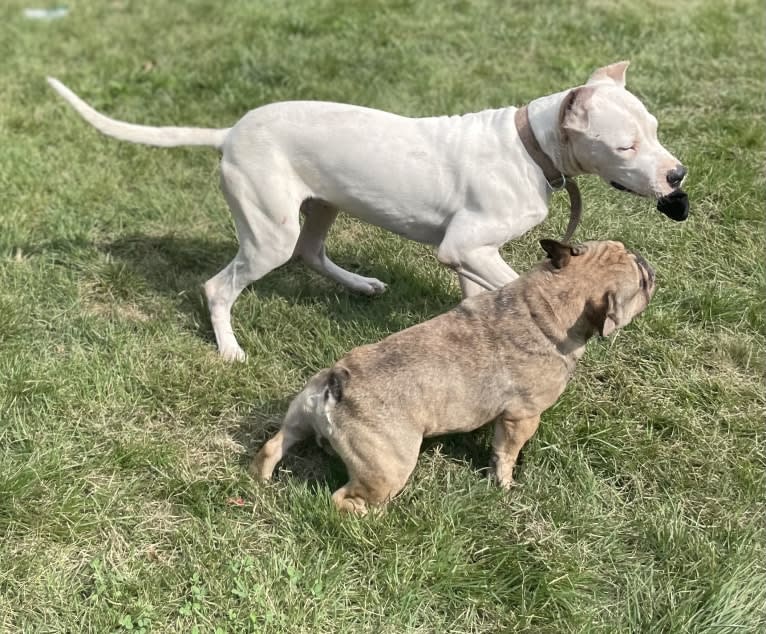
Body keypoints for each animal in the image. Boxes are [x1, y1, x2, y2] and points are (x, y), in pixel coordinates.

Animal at [48, 63, 688, 360]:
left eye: (657, 130)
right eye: (625, 146)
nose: (677, 176)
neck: (529, 146)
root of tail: (228, 133)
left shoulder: (466, 252)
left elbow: (479, 294)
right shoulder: (466, 245)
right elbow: (511, 283)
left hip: (322, 205)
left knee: (311, 252)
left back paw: (359, 286)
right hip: (268, 232)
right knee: (219, 285)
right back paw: (229, 347)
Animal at [250, 239, 656, 512]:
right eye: (640, 282)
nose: (646, 262)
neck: (548, 303)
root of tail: (338, 383)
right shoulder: (522, 417)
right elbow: (505, 454)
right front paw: (504, 484)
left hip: (300, 413)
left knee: (275, 445)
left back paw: (262, 478)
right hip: (389, 467)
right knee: (345, 498)